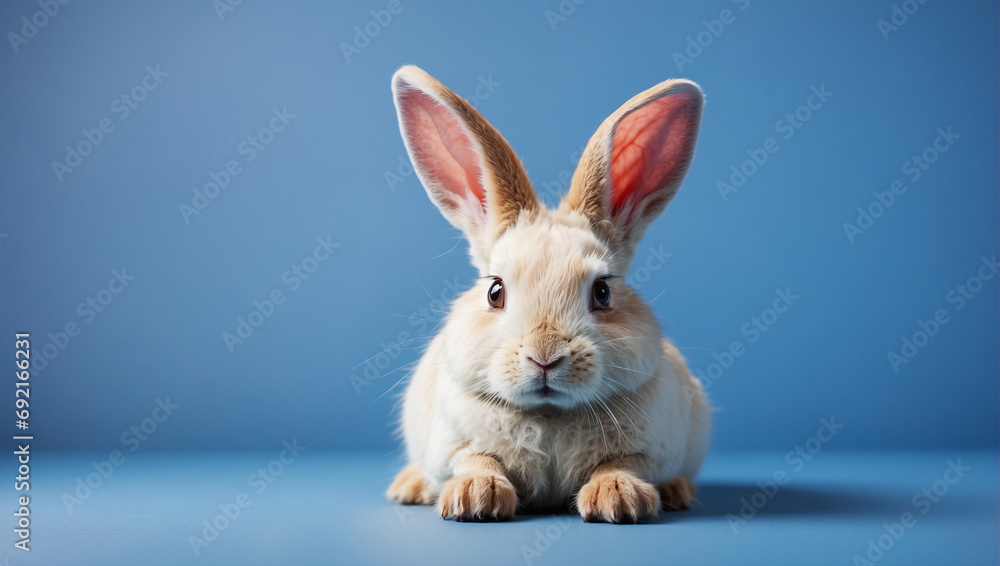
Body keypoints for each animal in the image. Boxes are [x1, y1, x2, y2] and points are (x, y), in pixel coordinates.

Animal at [385, 65, 711, 523]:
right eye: (495, 292)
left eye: (603, 292)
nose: (545, 356)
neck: (549, 414)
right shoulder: (453, 444)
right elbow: (475, 459)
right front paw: (476, 497)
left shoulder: (650, 450)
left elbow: (622, 463)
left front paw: (619, 498)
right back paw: (410, 487)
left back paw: (679, 491)